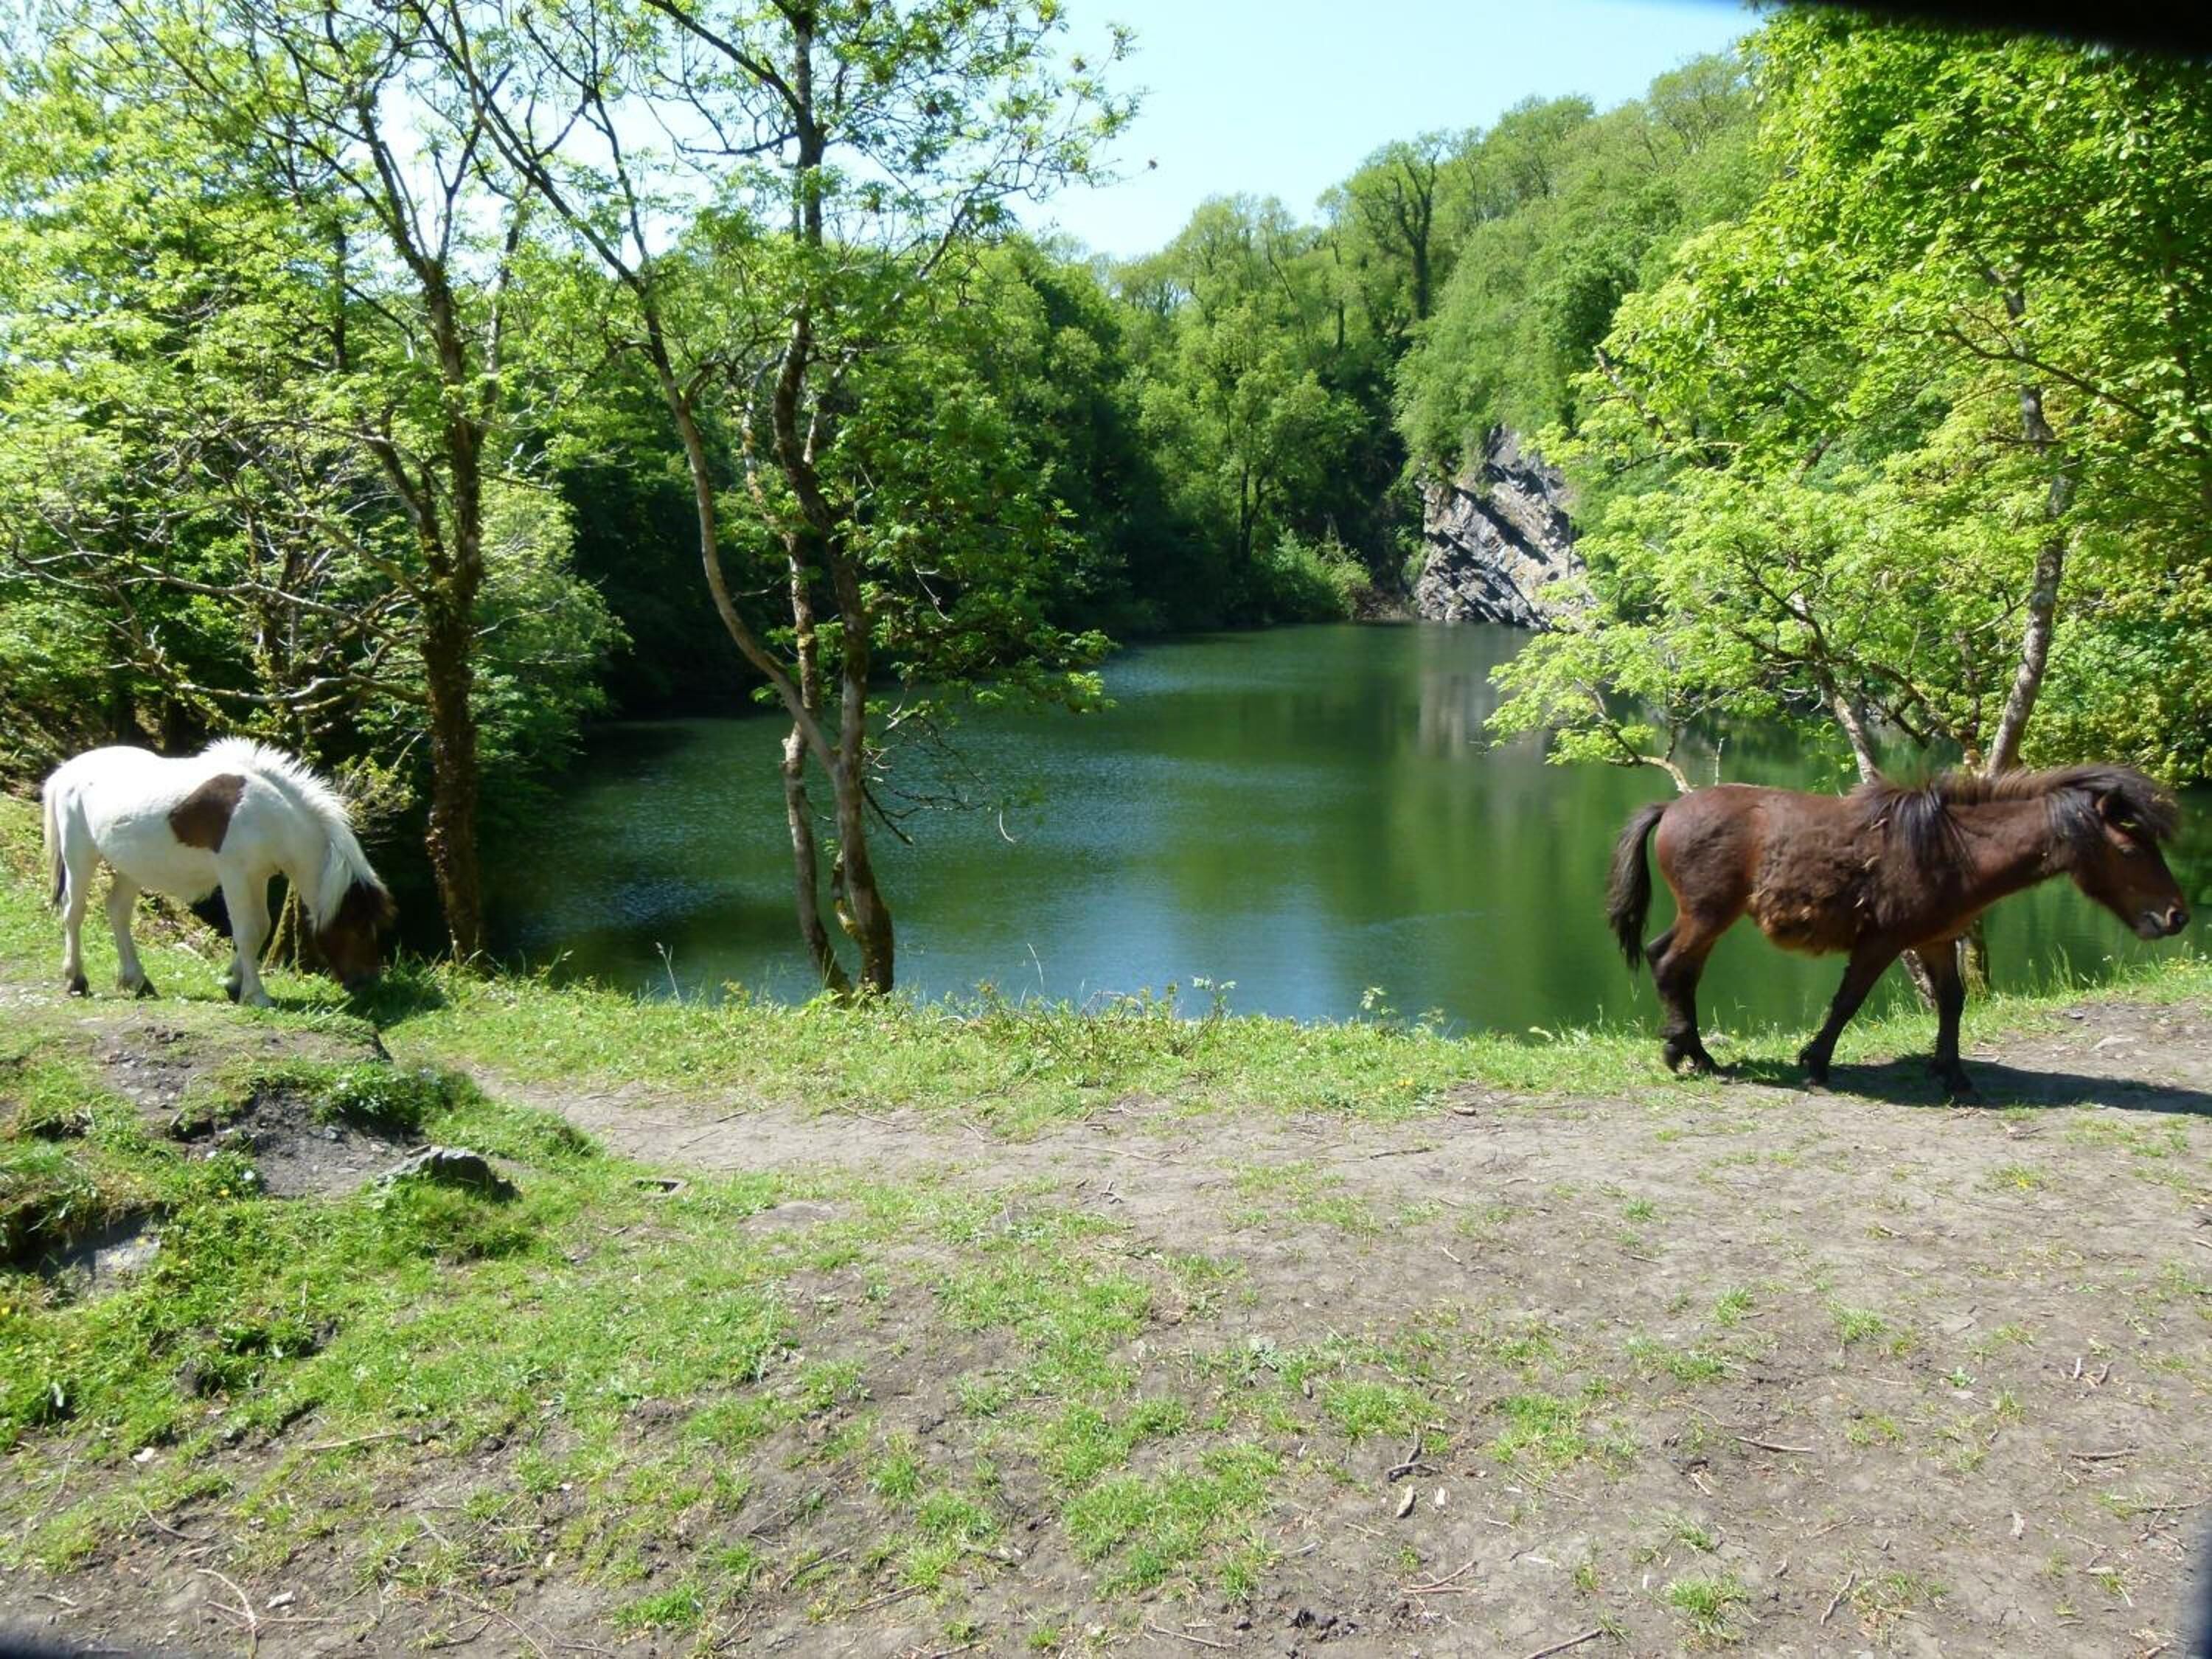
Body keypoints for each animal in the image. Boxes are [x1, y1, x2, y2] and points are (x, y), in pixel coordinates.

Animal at [41, 739, 396, 1007]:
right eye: (359, 927)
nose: (368, 982)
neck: (269, 815)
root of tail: (67, 772)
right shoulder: (235, 876)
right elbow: (247, 931)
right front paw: (255, 995)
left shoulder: (259, 876)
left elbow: (262, 928)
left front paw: (234, 983)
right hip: (80, 856)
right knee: (74, 912)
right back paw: (76, 979)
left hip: (132, 866)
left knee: (117, 911)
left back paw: (138, 981)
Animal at [1606, 765, 2188, 1094]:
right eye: (2130, 849)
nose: (2177, 915)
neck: (1953, 849)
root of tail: (1672, 806)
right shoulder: (1882, 942)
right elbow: (1848, 1002)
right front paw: (1815, 1065)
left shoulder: (1935, 940)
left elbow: (1952, 1003)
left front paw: (1953, 1074)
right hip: (1708, 915)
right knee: (1670, 964)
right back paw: (1690, 1055)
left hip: (1707, 919)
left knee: (1677, 967)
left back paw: (1693, 1051)